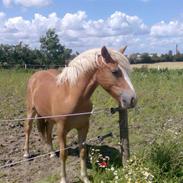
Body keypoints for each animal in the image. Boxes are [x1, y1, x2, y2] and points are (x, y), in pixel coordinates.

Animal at [23, 46, 137, 183]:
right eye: (115, 71)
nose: (132, 100)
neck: (71, 96)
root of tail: (36, 75)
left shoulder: (83, 127)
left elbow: (83, 151)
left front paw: (85, 178)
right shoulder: (61, 130)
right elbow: (64, 154)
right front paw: (63, 179)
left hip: (49, 118)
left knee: (48, 132)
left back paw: (51, 153)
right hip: (31, 111)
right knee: (28, 128)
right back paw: (27, 154)